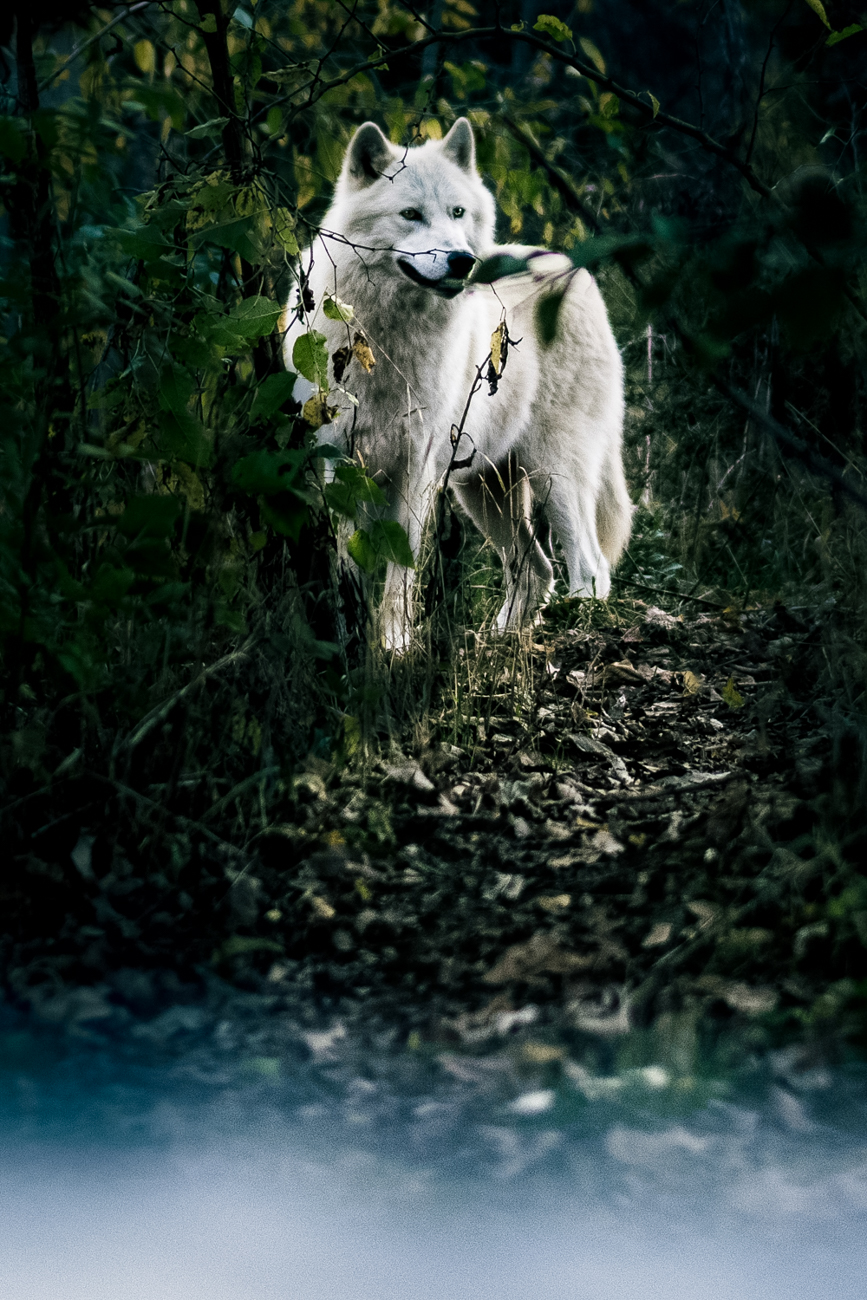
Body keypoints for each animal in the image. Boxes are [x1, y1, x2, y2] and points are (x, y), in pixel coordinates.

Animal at [282, 117, 632, 651]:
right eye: (410, 214)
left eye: (457, 212)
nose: (462, 260)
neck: (387, 342)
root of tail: (572, 268)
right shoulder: (338, 462)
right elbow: (348, 563)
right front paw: (352, 638)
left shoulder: (418, 470)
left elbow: (401, 569)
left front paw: (394, 646)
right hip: (485, 491)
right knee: (537, 570)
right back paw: (497, 641)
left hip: (553, 472)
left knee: (589, 568)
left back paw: (575, 625)